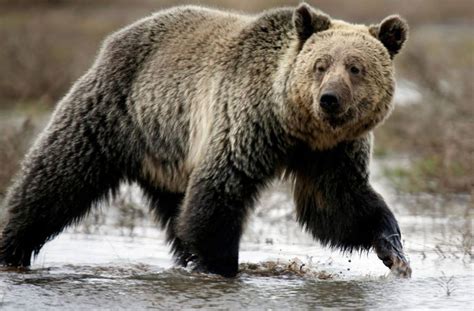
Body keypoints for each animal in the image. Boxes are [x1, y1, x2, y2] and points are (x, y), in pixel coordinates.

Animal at [0, 3, 412, 278]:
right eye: (321, 64)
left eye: (355, 67)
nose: (329, 98)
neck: (295, 125)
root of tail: (115, 38)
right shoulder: (246, 122)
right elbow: (220, 192)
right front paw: (221, 266)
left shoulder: (330, 152)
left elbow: (337, 205)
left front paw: (394, 250)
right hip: (114, 112)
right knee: (56, 178)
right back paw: (11, 247)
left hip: (168, 152)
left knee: (175, 212)